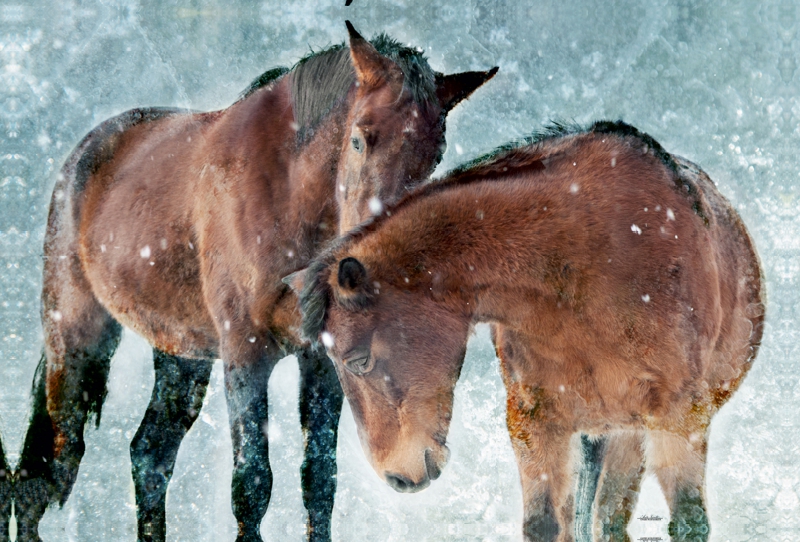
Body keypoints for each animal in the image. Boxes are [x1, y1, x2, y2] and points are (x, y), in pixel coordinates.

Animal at [12, 22, 496, 542]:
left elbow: (318, 481)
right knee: (43, 472)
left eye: (434, 155)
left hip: (180, 357)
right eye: (359, 139)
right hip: (76, 343)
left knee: (149, 456)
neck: (288, 196)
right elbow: (252, 483)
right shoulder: (245, 353)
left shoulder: (322, 362)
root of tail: (80, 159)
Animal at [292, 122, 764, 542]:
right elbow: (543, 524)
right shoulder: (535, 427)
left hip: (632, 437)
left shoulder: (678, 421)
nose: (398, 477)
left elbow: (689, 521)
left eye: (358, 360)